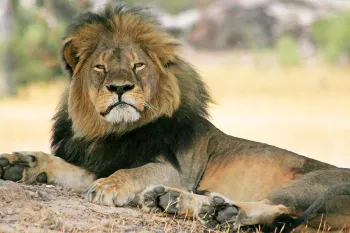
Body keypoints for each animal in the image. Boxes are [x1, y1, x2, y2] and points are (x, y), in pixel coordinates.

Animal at [0, 4, 350, 233]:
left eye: (138, 65)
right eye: (100, 67)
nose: (120, 88)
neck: (110, 132)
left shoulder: (173, 170)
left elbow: (133, 172)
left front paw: (109, 187)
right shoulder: (100, 161)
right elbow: (68, 168)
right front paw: (21, 163)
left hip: (308, 184)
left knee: (275, 207)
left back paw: (212, 208)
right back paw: (182, 203)